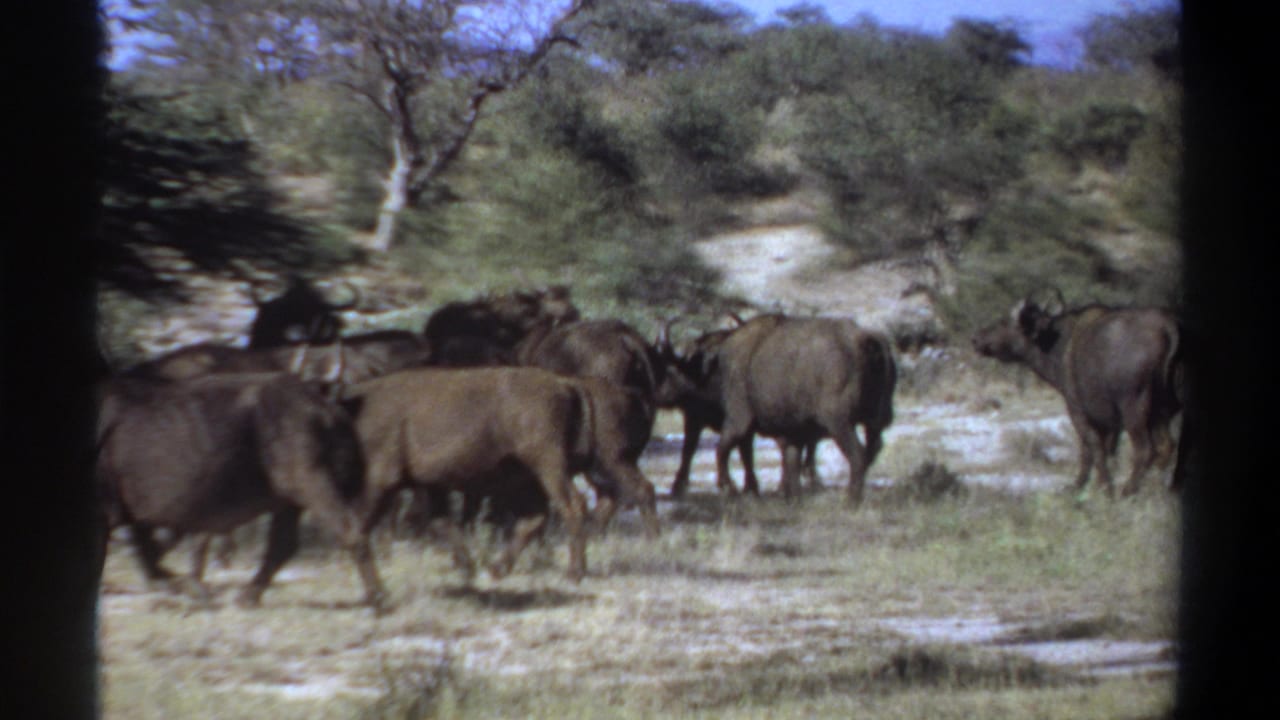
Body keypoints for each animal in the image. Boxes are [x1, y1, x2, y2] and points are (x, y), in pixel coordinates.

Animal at [96, 372, 388, 610]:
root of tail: (326, 407)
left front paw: (188, 587)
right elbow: (148, 555)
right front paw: (186, 586)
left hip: (311, 483)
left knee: (349, 531)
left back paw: (377, 597)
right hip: (290, 500)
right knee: (283, 544)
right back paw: (247, 595)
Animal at [971, 295, 1182, 496]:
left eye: (1004, 322)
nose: (977, 339)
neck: (1058, 343)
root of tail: (1167, 326)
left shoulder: (1079, 412)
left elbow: (1091, 449)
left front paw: (1099, 487)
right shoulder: (1110, 423)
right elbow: (1104, 451)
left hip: (1135, 409)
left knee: (1146, 450)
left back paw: (1128, 490)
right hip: (1163, 412)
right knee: (1168, 447)